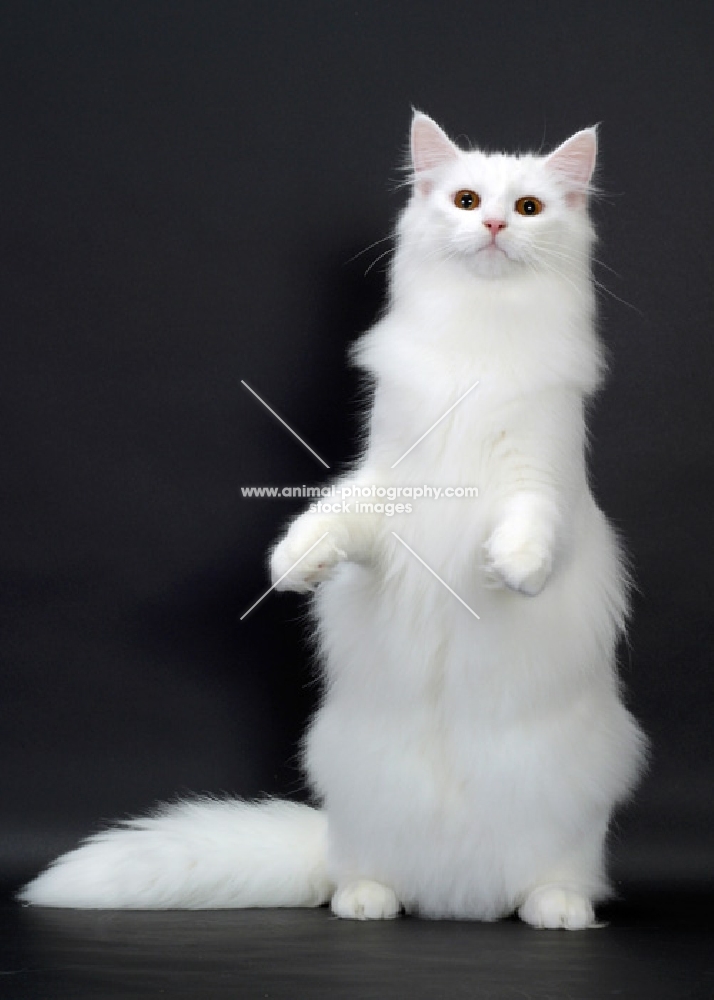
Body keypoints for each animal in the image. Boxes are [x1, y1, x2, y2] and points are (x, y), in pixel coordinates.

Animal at [19, 115, 644, 928]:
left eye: (529, 207)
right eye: (467, 199)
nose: (495, 225)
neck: (477, 341)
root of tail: (459, 899)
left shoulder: (546, 483)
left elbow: (531, 524)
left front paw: (515, 570)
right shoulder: (383, 488)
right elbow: (331, 519)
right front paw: (294, 567)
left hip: (573, 807)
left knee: (558, 878)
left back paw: (554, 909)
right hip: (352, 789)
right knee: (361, 871)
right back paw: (368, 901)